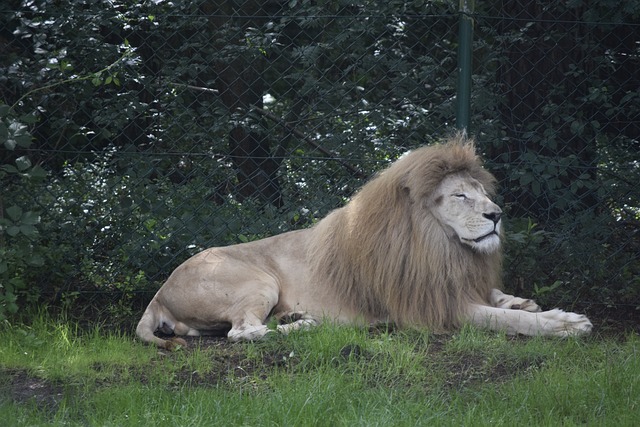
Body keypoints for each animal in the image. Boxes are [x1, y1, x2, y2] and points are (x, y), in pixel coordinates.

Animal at [138, 135, 592, 350]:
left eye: (483, 192)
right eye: (461, 195)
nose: (496, 214)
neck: (441, 246)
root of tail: (158, 293)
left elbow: (499, 299)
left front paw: (526, 302)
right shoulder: (430, 307)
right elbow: (504, 320)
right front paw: (565, 324)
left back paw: (292, 318)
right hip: (257, 280)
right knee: (242, 333)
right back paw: (303, 326)